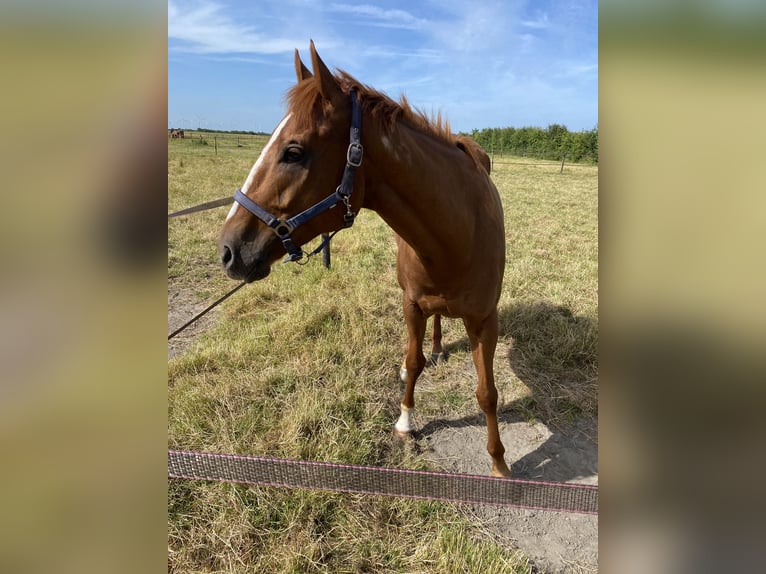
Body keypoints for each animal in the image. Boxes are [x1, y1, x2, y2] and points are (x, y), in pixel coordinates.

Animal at [218, 41, 510, 477]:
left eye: (293, 152)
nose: (228, 249)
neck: (458, 235)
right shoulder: (411, 304)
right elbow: (414, 361)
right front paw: (405, 421)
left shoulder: (485, 321)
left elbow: (487, 392)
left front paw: (499, 463)